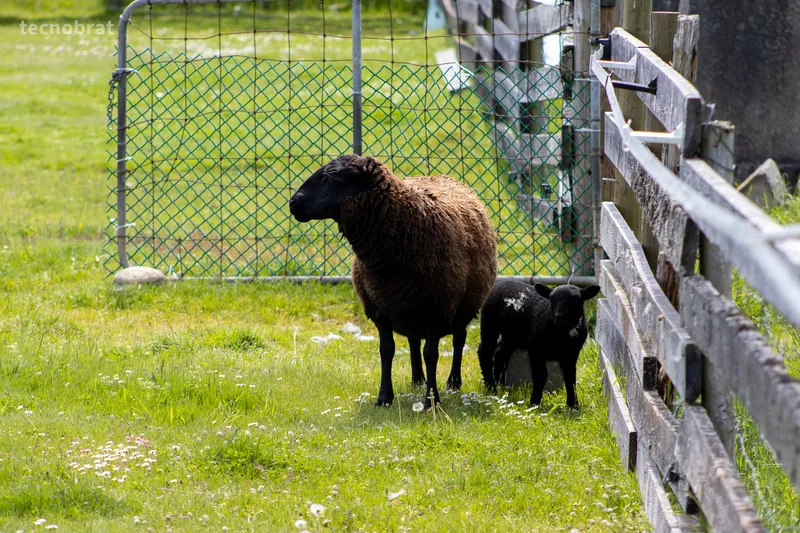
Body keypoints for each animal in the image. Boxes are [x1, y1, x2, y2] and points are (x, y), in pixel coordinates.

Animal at [289, 155, 497, 409]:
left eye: (331, 178)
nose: (293, 203)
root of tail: (439, 175)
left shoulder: (438, 310)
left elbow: (432, 354)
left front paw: (431, 400)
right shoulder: (379, 309)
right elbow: (386, 350)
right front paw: (384, 397)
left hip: (461, 307)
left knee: (458, 340)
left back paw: (453, 382)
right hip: (408, 308)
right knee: (414, 342)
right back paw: (417, 379)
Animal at [476, 279, 600, 408]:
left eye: (576, 300)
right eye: (552, 299)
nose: (559, 317)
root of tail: (500, 282)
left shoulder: (571, 354)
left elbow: (570, 377)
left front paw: (573, 404)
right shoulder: (535, 349)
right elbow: (540, 376)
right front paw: (534, 402)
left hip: (512, 335)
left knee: (500, 353)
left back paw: (500, 384)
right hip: (489, 323)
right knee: (485, 351)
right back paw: (491, 387)